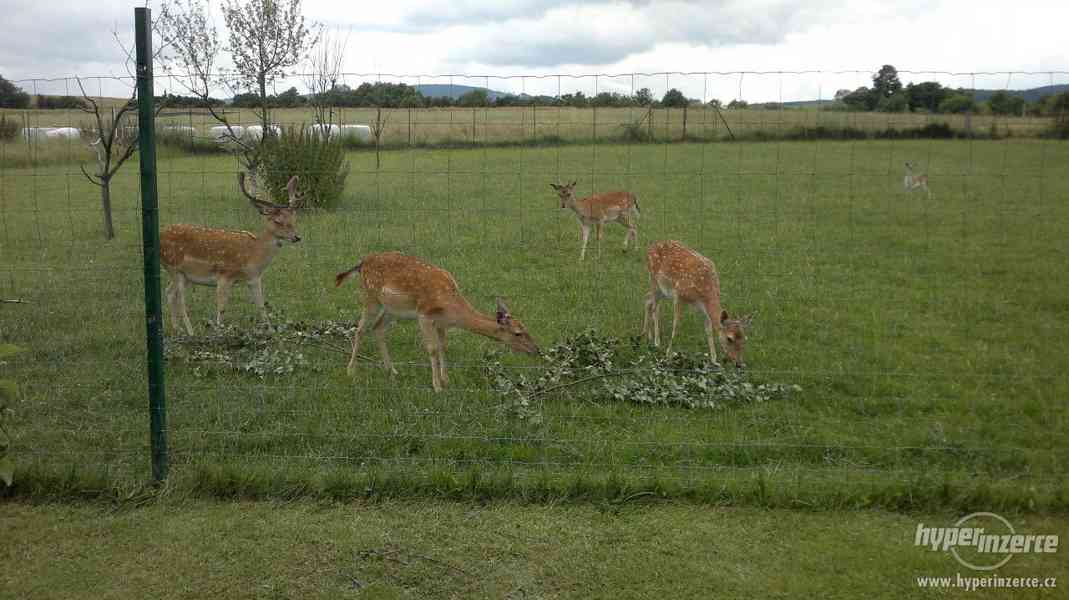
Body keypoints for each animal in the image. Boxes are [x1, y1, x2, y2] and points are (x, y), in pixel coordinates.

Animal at [162, 173, 305, 333]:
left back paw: (177, 329)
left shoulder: (254, 279)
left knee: (169, 293)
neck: (253, 256)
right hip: (174, 268)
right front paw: (219, 331)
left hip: (186, 276)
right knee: (180, 299)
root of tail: (160, 236)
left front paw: (271, 331)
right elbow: (221, 309)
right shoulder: (224, 275)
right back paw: (190, 332)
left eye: (294, 219)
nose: (296, 237)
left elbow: (261, 307)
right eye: (277, 221)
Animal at [335, 250, 543, 391]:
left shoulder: (442, 323)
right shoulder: (424, 316)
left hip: (392, 309)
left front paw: (446, 380)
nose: (536, 350)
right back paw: (350, 371)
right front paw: (437, 386)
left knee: (377, 329)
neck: (452, 309)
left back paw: (392, 371)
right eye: (518, 333)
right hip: (371, 296)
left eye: (526, 328)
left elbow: (444, 346)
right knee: (360, 329)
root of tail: (362, 263)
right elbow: (433, 349)